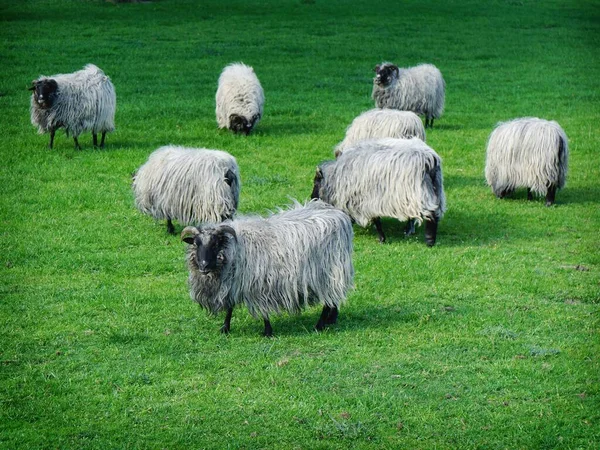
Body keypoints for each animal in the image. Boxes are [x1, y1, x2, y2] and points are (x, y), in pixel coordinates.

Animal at [180, 200, 354, 338]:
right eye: (196, 243)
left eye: (216, 244)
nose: (203, 265)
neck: (231, 250)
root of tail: (339, 216)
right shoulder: (233, 282)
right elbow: (230, 307)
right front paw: (225, 328)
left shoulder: (259, 283)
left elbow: (263, 310)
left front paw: (268, 332)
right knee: (333, 299)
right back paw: (331, 320)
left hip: (328, 271)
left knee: (329, 299)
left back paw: (319, 325)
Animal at [314, 137, 446, 246]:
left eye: (315, 181)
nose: (312, 198)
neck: (335, 177)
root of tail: (429, 159)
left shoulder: (367, 200)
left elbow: (376, 220)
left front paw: (382, 238)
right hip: (431, 190)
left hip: (419, 191)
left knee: (431, 214)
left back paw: (429, 240)